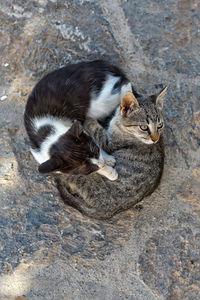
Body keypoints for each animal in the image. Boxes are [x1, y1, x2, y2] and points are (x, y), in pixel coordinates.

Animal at [55, 88, 167, 219]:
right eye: (144, 127)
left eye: (160, 125)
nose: (155, 139)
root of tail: (107, 211)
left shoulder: (108, 143)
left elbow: (96, 129)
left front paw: (89, 118)